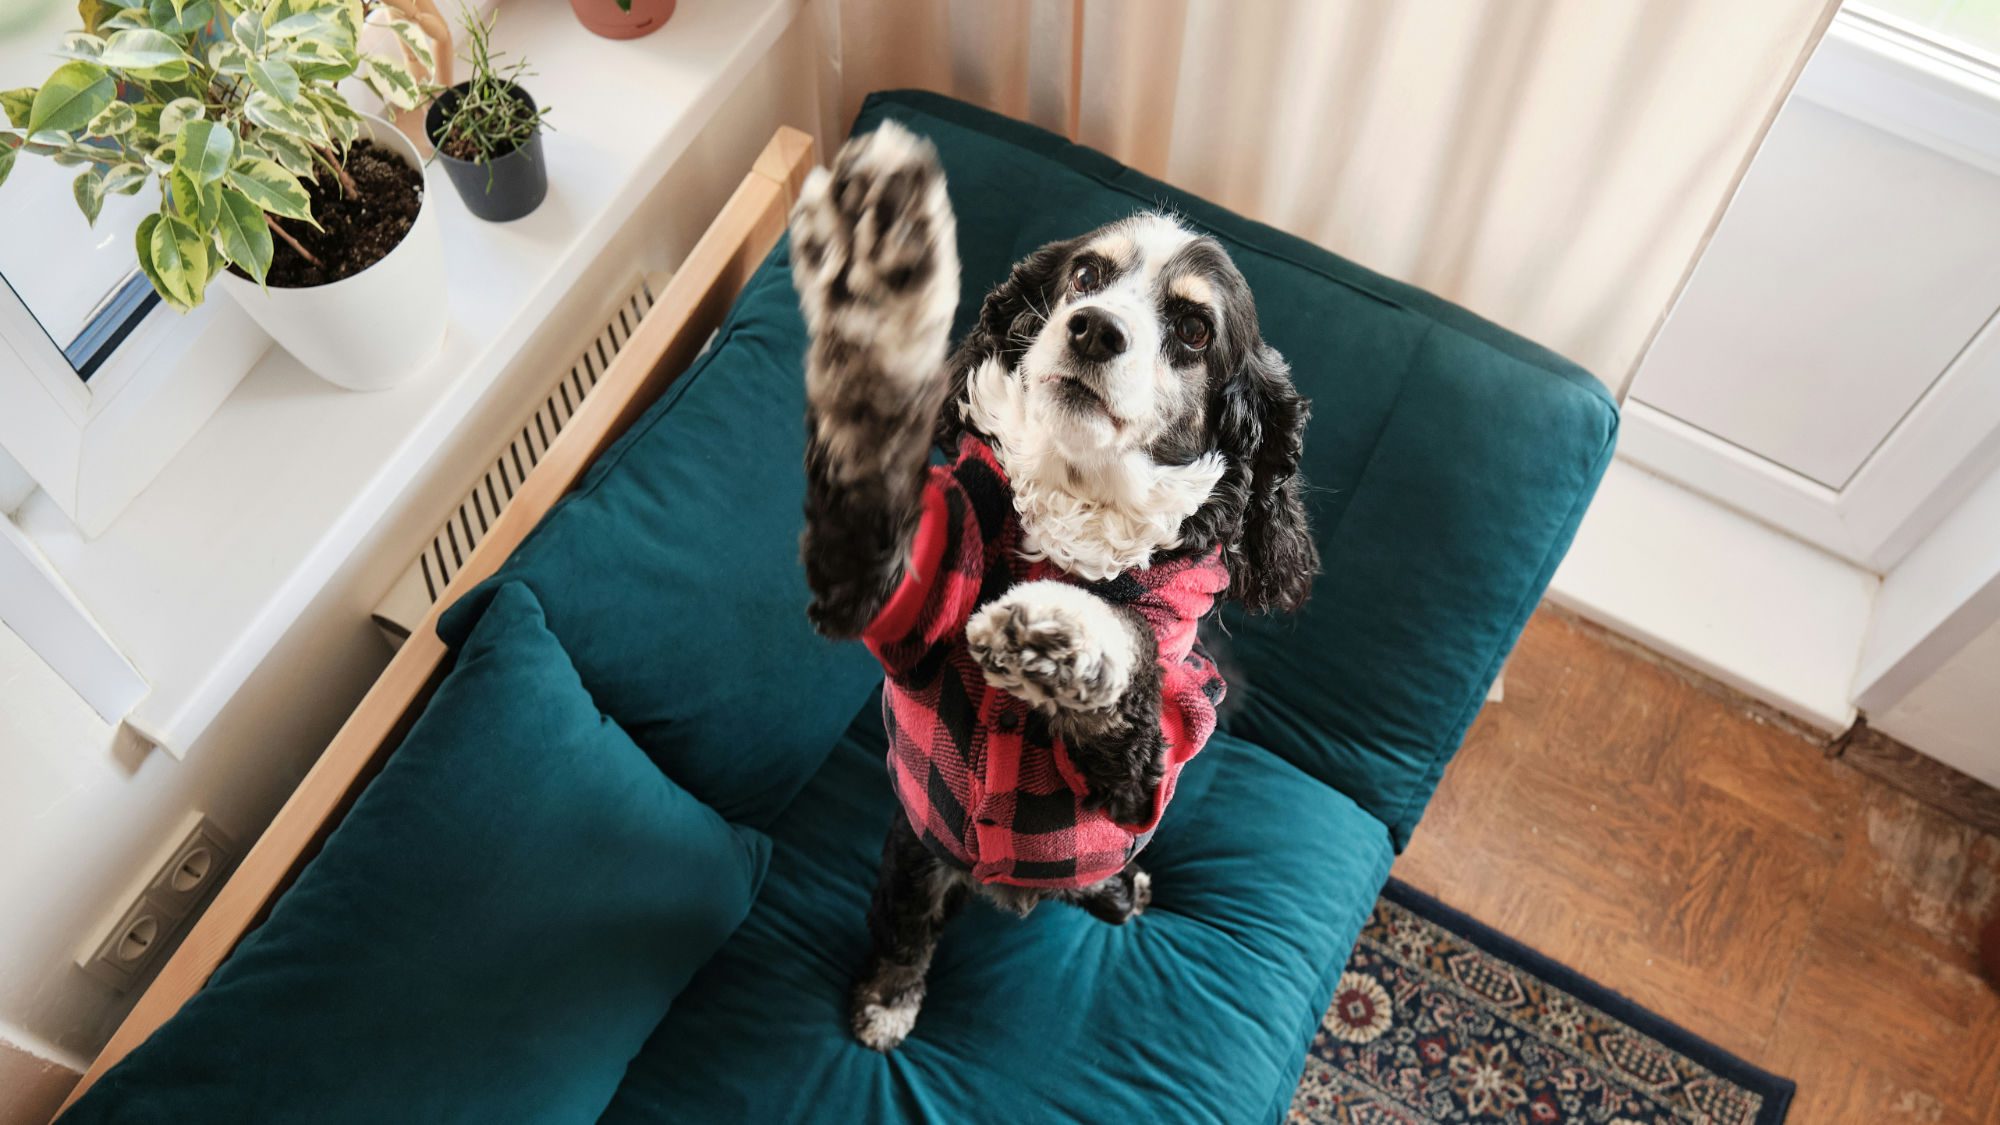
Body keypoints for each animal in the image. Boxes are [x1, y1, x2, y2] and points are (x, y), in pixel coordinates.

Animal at [788, 118, 1320, 1048]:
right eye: (1086, 277)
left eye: (1192, 328)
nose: (1094, 330)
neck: (1076, 512)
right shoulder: (890, 589)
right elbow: (870, 445)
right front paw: (880, 271)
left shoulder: (1142, 769)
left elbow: (1134, 656)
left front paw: (1060, 631)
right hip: (916, 847)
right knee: (905, 923)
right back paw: (890, 996)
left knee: (1096, 879)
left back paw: (1117, 889)